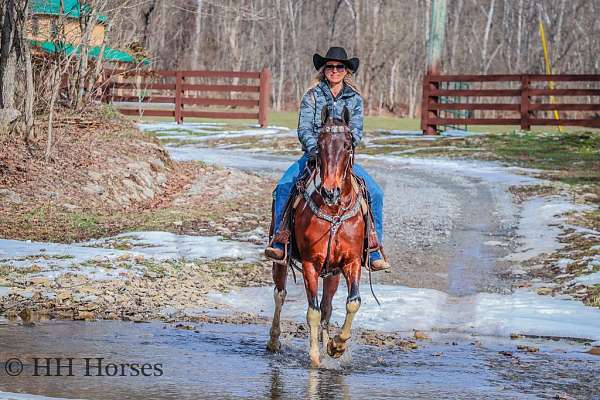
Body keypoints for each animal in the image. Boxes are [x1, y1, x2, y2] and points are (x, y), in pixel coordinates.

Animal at [268, 104, 366, 368]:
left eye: (348, 145)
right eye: (319, 145)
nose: (330, 191)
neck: (334, 211)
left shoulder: (351, 262)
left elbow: (352, 303)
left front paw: (336, 345)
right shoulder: (311, 264)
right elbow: (312, 311)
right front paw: (314, 357)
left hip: (332, 273)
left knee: (327, 305)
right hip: (280, 259)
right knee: (280, 294)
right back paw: (273, 340)